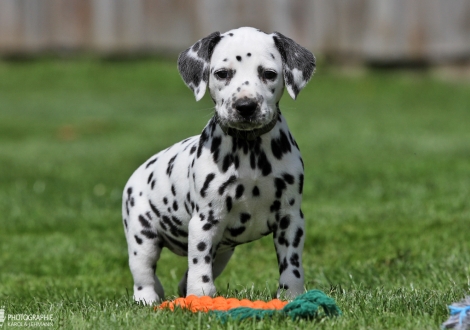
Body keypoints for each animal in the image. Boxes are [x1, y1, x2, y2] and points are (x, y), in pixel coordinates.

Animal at [122, 27, 316, 306]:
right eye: (222, 73)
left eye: (269, 74)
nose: (245, 106)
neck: (250, 152)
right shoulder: (204, 222)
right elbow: (199, 263)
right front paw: (201, 296)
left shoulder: (290, 220)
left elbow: (292, 264)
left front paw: (292, 296)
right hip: (142, 238)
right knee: (145, 275)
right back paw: (148, 299)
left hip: (223, 252)